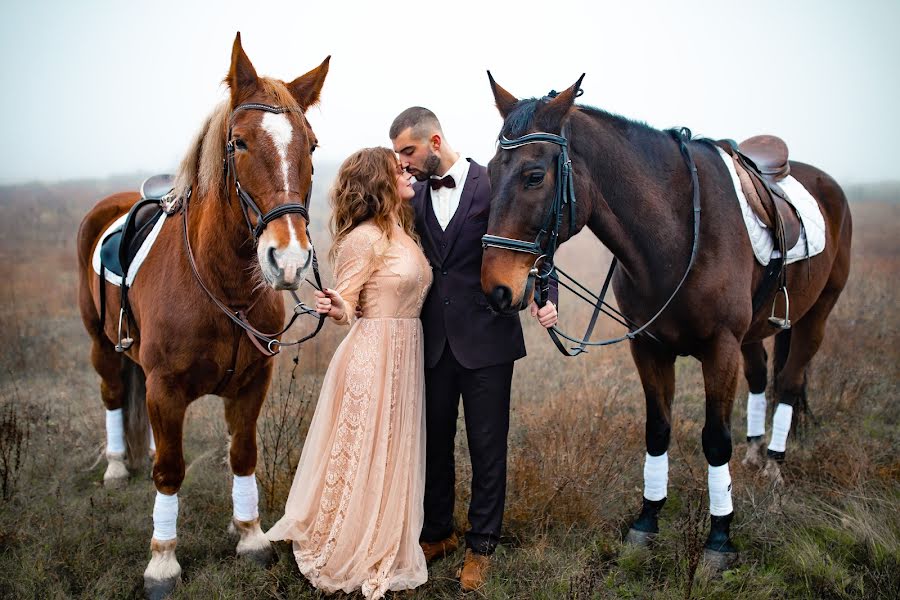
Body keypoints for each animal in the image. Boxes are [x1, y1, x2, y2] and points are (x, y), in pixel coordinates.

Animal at [77, 35, 328, 596]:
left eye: (312, 146)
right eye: (238, 143)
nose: (289, 259)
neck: (223, 287)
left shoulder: (252, 384)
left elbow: (243, 455)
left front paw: (250, 535)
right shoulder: (166, 388)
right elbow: (170, 470)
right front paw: (163, 561)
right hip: (102, 346)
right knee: (112, 395)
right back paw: (118, 466)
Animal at [478, 75, 852, 568]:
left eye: (534, 176)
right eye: (489, 172)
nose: (495, 288)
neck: (676, 233)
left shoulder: (720, 348)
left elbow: (715, 439)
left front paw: (719, 539)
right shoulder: (648, 346)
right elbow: (657, 430)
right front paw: (646, 521)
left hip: (817, 315)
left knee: (789, 384)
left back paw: (773, 464)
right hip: (753, 334)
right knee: (759, 377)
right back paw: (755, 453)